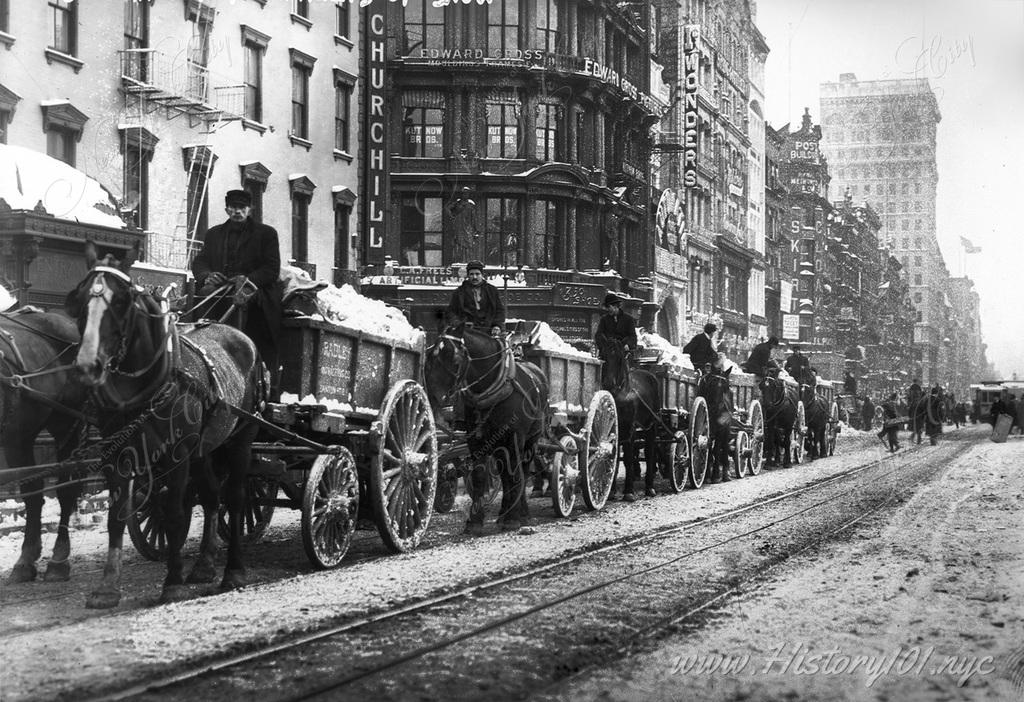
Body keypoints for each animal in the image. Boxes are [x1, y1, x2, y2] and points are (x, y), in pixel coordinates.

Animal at [65, 243, 262, 609]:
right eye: (81, 298)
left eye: (121, 301)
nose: (88, 365)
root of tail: (241, 336)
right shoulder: (119, 454)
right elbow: (117, 516)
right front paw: (107, 587)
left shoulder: (177, 454)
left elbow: (172, 512)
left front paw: (172, 583)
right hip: (204, 449)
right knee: (212, 496)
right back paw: (204, 564)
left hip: (240, 440)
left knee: (235, 497)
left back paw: (233, 570)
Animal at [423, 327, 548, 536]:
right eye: (429, 359)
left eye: (455, 361)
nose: (433, 399)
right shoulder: (476, 442)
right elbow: (480, 476)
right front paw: (474, 522)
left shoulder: (515, 439)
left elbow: (515, 475)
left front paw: (513, 519)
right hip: (499, 446)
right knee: (504, 475)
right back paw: (503, 513)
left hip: (532, 440)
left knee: (522, 471)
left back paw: (520, 513)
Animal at [598, 339, 663, 501]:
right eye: (603, 356)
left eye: (620, 358)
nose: (608, 383)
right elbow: (614, 459)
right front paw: (611, 491)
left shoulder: (630, 429)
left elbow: (628, 459)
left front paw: (629, 491)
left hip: (651, 425)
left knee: (650, 453)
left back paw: (649, 487)